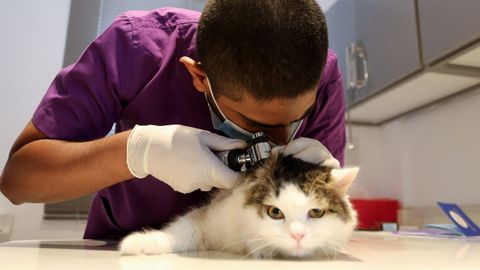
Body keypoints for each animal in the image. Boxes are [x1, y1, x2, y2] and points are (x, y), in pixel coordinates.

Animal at [120, 152, 360, 260]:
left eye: (316, 212)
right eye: (275, 212)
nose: (298, 235)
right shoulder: (207, 219)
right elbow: (180, 231)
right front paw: (141, 242)